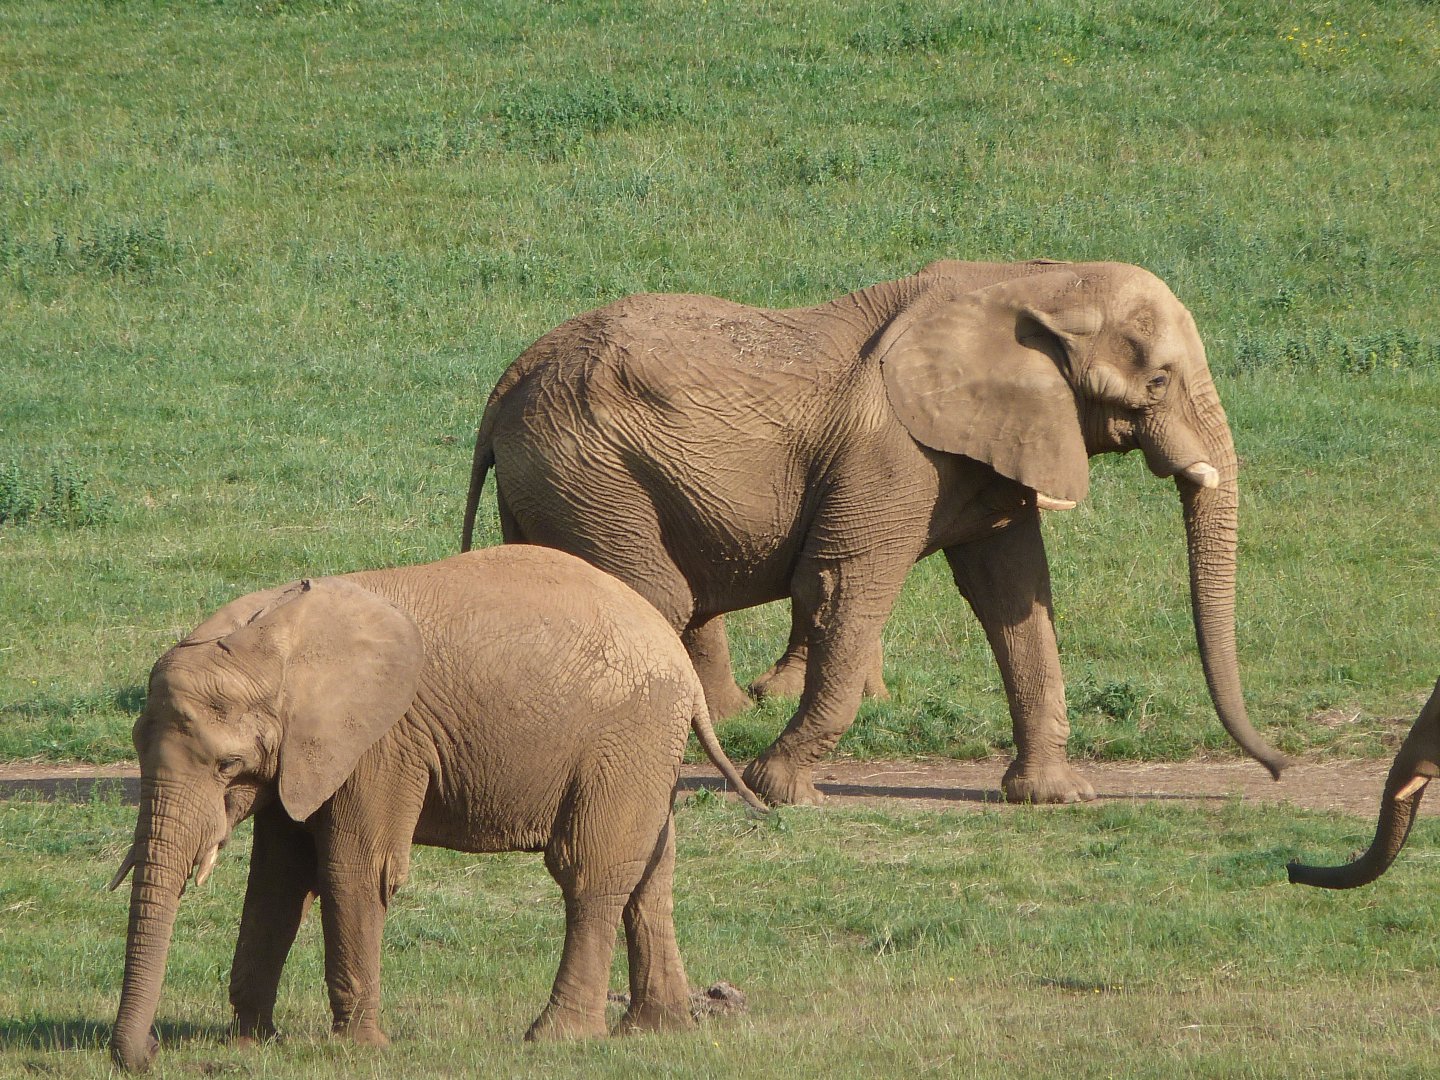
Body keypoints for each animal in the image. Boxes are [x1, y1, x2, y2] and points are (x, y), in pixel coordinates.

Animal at [107, 545, 764, 1072]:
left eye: (226, 764)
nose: (148, 1054)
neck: (275, 636)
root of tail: (682, 666)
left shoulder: (380, 742)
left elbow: (353, 870)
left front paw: (359, 1051)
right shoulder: (303, 754)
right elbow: (278, 877)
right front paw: (252, 1044)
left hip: (626, 737)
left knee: (589, 871)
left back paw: (556, 1039)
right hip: (645, 749)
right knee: (651, 872)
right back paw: (656, 1030)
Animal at [460, 259, 1290, 808]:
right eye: (1159, 381)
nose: (1279, 767)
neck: (1033, 282)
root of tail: (506, 383)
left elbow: (1013, 590)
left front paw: (1056, 797)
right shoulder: (891, 452)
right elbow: (842, 583)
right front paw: (783, 793)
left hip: (561, 479)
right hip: (591, 474)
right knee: (654, 598)